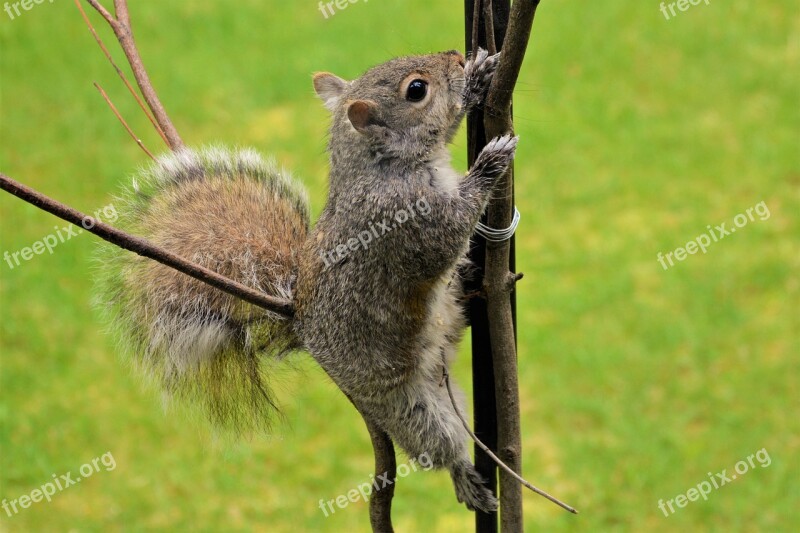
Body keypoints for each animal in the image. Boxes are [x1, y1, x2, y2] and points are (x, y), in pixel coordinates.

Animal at [98, 48, 520, 512]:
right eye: (416, 90)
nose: (454, 57)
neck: (383, 166)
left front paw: (478, 78)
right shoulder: (408, 218)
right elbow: (451, 233)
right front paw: (490, 164)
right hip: (406, 403)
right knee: (439, 446)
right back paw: (465, 479)